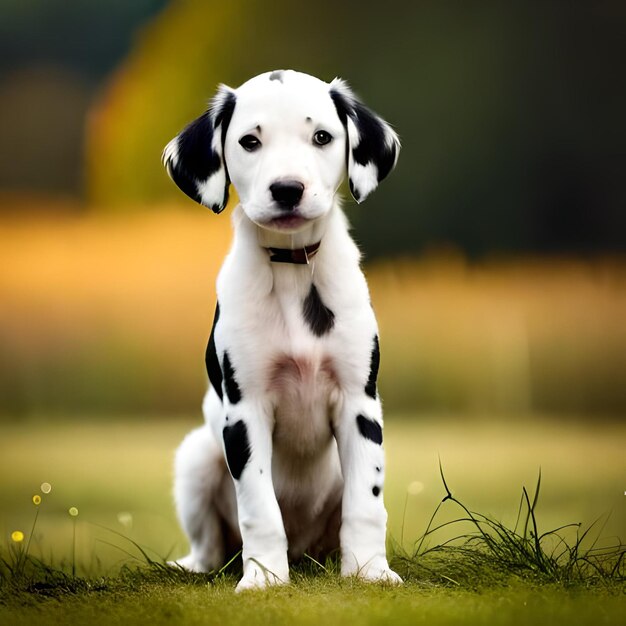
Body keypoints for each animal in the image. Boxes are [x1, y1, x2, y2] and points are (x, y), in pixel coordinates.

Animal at [162, 69, 400, 588]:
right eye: (250, 141)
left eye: (322, 137)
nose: (287, 189)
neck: (292, 269)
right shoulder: (245, 412)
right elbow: (259, 506)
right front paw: (264, 578)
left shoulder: (360, 404)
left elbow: (367, 504)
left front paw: (369, 571)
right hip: (196, 457)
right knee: (211, 546)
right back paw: (199, 565)